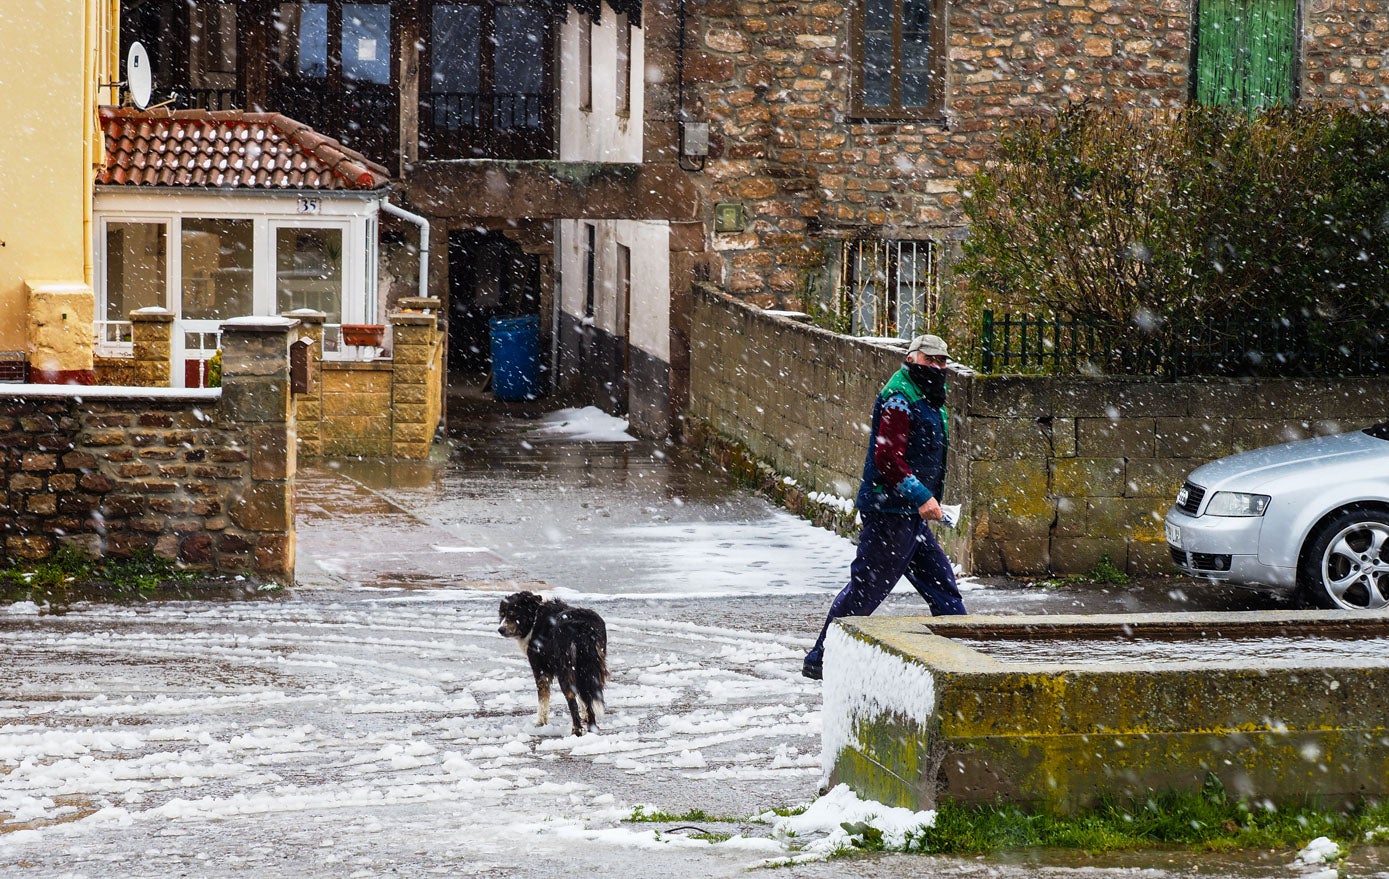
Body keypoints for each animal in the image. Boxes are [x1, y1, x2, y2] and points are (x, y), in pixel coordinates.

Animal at [500, 588, 608, 733]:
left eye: (513, 614)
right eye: (502, 615)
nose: (500, 629)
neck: (534, 617)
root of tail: (581, 626)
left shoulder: (540, 669)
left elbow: (543, 699)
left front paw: (540, 722)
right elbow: (584, 698)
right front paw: (585, 716)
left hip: (565, 669)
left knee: (571, 699)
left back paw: (576, 730)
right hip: (589, 666)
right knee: (588, 694)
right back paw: (592, 728)